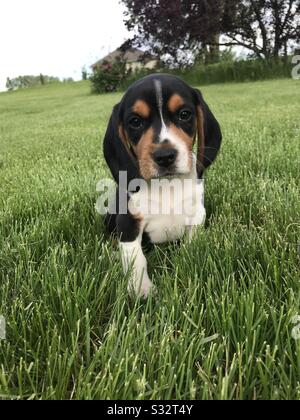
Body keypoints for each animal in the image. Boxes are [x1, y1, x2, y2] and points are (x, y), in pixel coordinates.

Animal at [103, 75, 223, 298]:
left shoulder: (196, 214)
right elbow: (136, 258)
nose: (165, 156)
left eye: (184, 114)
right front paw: (141, 289)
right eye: (135, 121)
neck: (167, 184)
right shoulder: (128, 221)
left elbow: (191, 245)